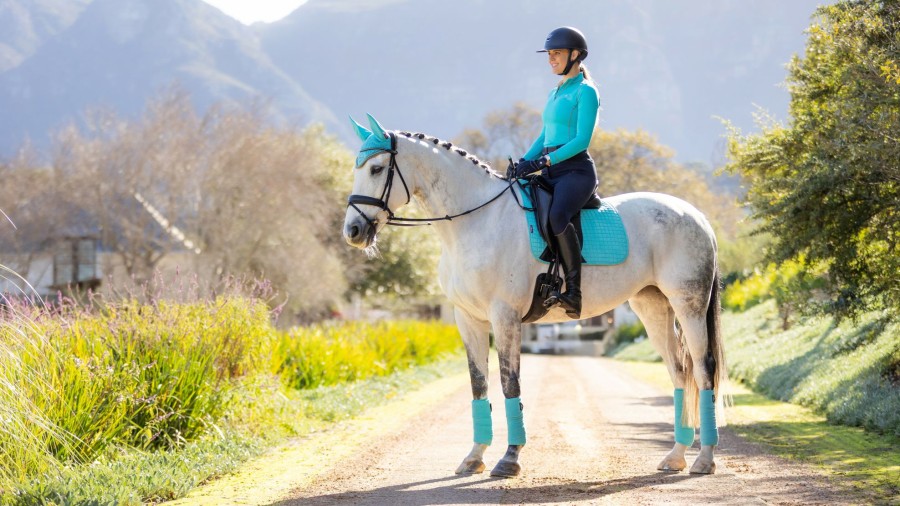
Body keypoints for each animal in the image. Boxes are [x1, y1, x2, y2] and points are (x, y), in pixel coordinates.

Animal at [342, 114, 728, 478]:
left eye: (376, 169)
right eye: (358, 169)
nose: (353, 231)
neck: (477, 222)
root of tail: (697, 215)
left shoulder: (505, 317)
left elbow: (509, 383)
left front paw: (509, 459)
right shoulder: (468, 318)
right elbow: (479, 384)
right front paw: (474, 457)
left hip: (688, 305)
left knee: (703, 369)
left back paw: (704, 459)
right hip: (653, 307)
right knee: (679, 372)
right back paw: (675, 456)